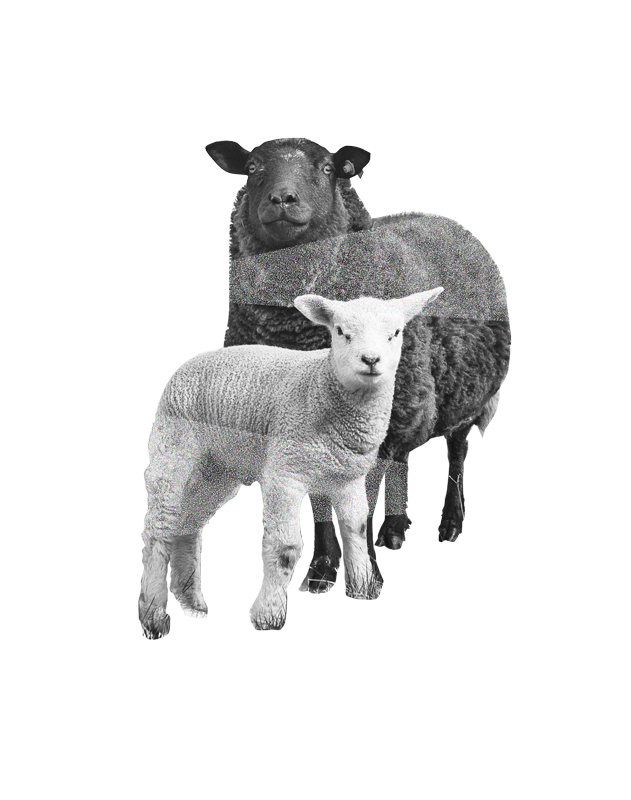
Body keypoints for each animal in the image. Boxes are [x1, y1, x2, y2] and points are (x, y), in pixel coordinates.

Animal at [139, 288, 444, 634]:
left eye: (395, 333)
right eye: (341, 331)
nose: (370, 360)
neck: (320, 387)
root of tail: (189, 363)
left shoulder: (349, 479)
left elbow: (356, 532)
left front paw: (363, 591)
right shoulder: (286, 471)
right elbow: (286, 548)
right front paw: (267, 616)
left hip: (214, 468)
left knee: (188, 526)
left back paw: (191, 604)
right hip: (175, 446)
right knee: (158, 527)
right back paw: (154, 615)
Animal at [205, 137, 510, 585]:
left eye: (328, 168)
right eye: (253, 166)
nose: (282, 198)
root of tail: (445, 222)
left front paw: (348, 566)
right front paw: (321, 568)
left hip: (459, 390)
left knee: (452, 450)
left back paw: (445, 524)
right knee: (402, 457)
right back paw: (395, 529)